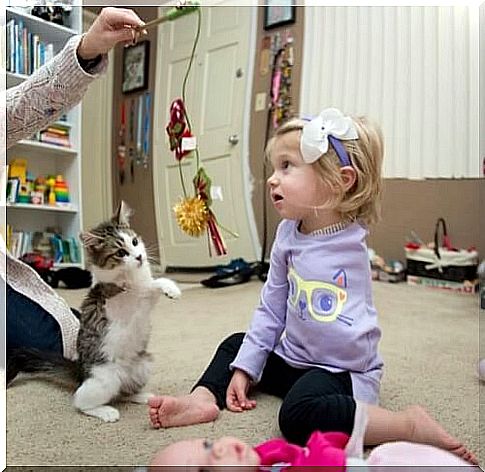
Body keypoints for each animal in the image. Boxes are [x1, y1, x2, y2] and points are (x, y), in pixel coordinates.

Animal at [7, 201, 182, 422]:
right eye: (120, 253)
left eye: (134, 241)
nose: (140, 257)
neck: (131, 277)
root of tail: (81, 372)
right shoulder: (118, 299)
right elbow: (141, 288)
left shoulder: (145, 301)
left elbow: (154, 284)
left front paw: (171, 289)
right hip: (105, 379)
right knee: (81, 401)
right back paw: (106, 412)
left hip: (144, 365)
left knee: (124, 392)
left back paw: (142, 396)